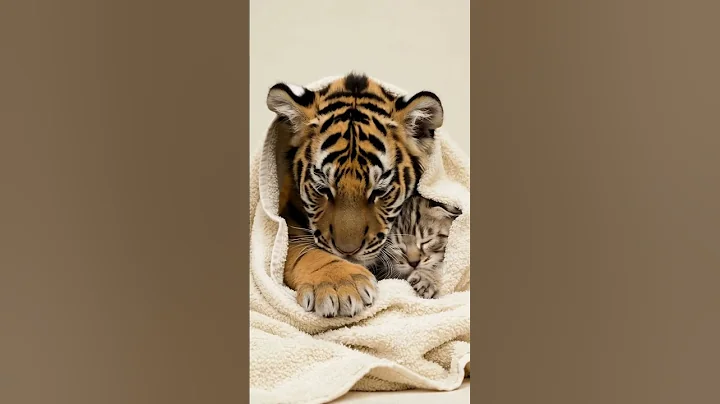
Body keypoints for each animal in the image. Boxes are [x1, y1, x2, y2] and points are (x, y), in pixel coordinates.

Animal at [265, 72, 444, 318]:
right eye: (323, 189)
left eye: (379, 191)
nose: (347, 252)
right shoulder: (287, 223)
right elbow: (303, 251)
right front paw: (340, 284)